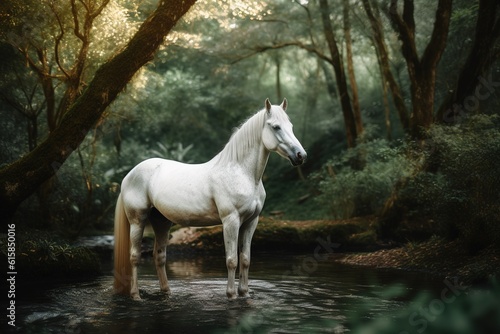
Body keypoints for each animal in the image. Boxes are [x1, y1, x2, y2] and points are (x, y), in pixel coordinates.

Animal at [114, 98, 306, 298]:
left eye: (291, 126)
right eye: (276, 127)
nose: (301, 156)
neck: (242, 173)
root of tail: (129, 175)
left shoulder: (251, 222)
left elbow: (245, 259)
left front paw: (244, 293)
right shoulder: (231, 221)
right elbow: (232, 260)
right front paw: (231, 295)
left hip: (162, 222)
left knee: (159, 256)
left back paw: (166, 292)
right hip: (138, 220)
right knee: (134, 257)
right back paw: (136, 295)